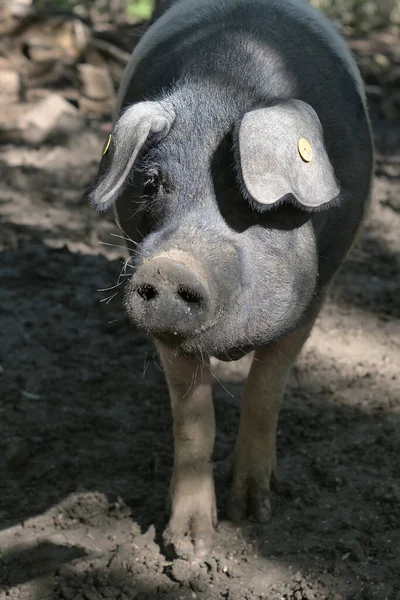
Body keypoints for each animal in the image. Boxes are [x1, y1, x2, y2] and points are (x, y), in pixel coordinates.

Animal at [89, 0, 374, 556]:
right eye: (151, 183)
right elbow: (194, 420)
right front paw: (190, 546)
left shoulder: (315, 296)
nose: (170, 264)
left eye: (249, 201)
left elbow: (265, 391)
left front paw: (253, 513)